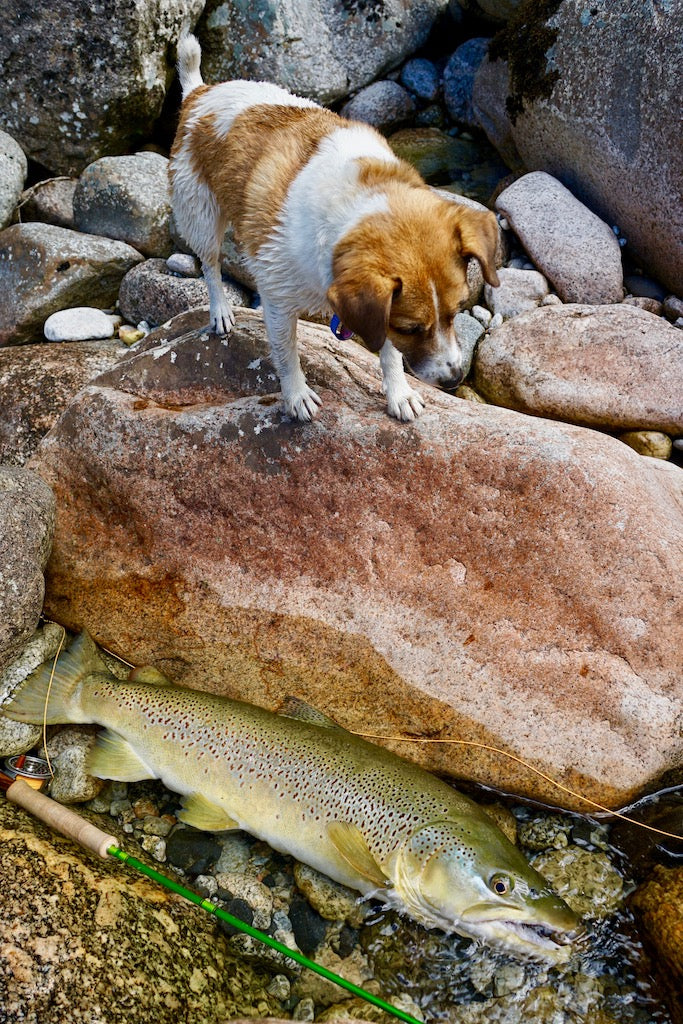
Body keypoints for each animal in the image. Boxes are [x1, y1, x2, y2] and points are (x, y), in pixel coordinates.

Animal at [169, 36, 501, 419]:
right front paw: (296, 395)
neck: (357, 201)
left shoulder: (378, 310)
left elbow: (388, 352)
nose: (454, 379)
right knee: (210, 265)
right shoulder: (278, 299)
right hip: (201, 216)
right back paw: (220, 310)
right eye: (411, 328)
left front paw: (398, 392)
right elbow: (286, 354)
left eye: (457, 311)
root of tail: (200, 93)